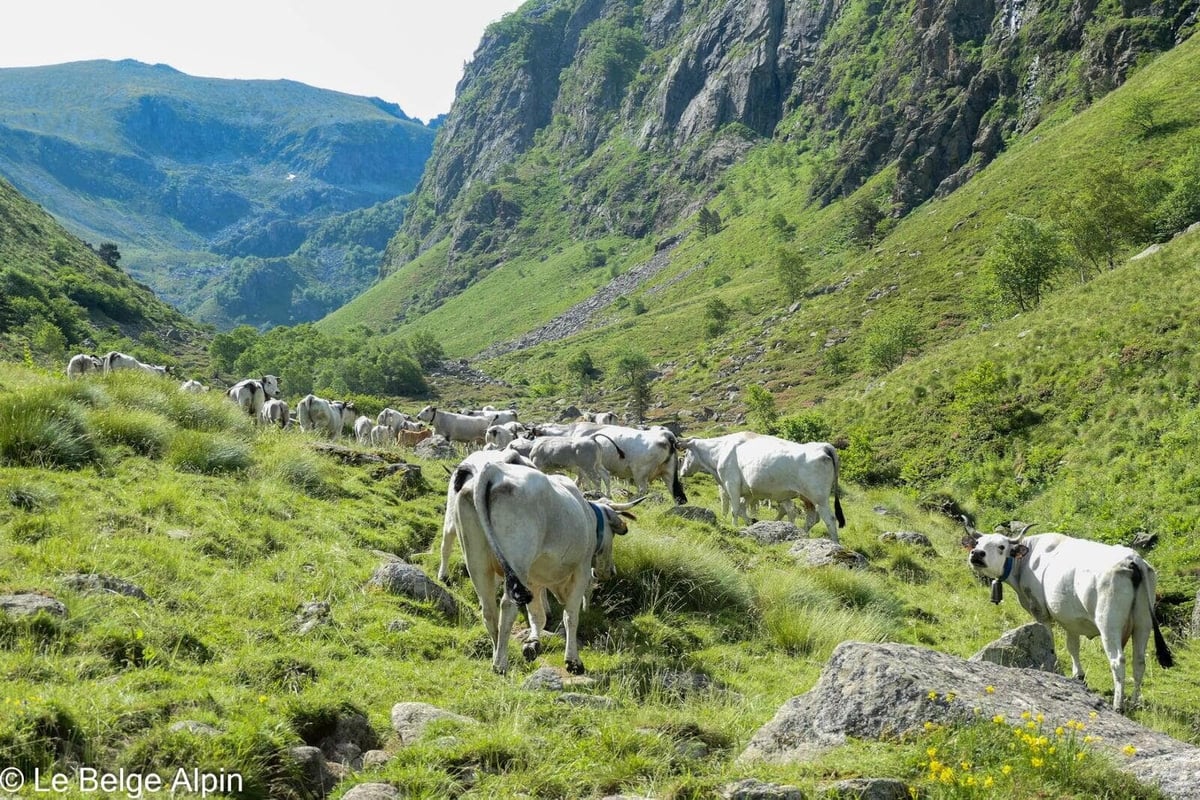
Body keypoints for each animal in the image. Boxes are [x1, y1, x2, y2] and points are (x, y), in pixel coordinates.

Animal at [453, 460, 643, 675]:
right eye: (613, 534)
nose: (610, 571)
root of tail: (493, 470)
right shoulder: (581, 571)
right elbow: (570, 616)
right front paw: (573, 660)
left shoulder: (534, 580)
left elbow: (537, 615)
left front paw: (533, 644)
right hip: (518, 562)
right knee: (507, 606)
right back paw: (500, 663)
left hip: (477, 561)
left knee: (489, 611)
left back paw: (496, 654)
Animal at [679, 433, 842, 539]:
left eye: (686, 453)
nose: (681, 472)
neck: (719, 451)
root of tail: (823, 446)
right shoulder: (749, 493)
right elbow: (742, 509)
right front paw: (751, 522)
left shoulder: (731, 485)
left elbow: (735, 509)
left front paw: (734, 526)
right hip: (806, 498)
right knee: (811, 519)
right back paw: (803, 535)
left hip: (819, 498)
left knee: (829, 519)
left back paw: (835, 543)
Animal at [963, 522, 1174, 711]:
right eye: (978, 543)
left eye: (1001, 546)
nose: (977, 554)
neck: (1028, 561)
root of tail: (1132, 559)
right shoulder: (1071, 620)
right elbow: (1073, 647)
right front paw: (1078, 676)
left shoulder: (1041, 612)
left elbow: (1050, 642)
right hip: (1143, 623)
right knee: (1139, 661)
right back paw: (1134, 701)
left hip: (1109, 623)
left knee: (1118, 660)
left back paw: (1118, 704)